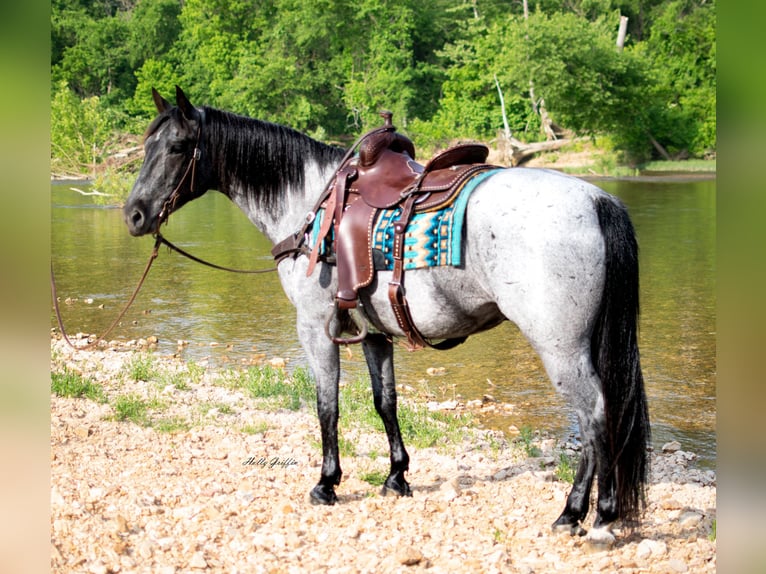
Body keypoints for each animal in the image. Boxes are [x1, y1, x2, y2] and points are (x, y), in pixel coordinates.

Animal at [123, 88, 652, 548]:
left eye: (177, 146)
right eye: (147, 145)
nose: (134, 214)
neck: (310, 204)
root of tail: (597, 200)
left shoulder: (315, 330)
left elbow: (327, 406)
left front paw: (327, 483)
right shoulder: (376, 334)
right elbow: (386, 403)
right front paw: (397, 476)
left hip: (560, 348)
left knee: (596, 416)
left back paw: (592, 516)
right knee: (596, 419)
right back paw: (577, 514)